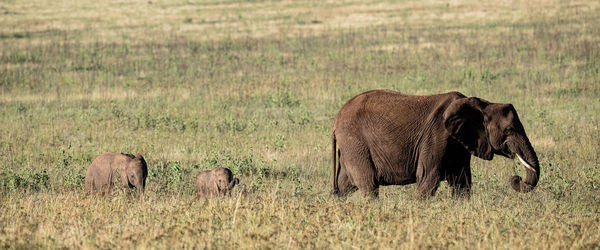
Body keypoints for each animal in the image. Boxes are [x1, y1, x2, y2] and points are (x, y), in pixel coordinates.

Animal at [330, 89, 540, 198]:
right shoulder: (436, 136)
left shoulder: (459, 143)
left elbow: (462, 183)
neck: (481, 104)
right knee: (369, 185)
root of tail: (336, 119)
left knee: (344, 186)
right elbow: (427, 180)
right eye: (510, 130)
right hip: (355, 142)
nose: (517, 179)